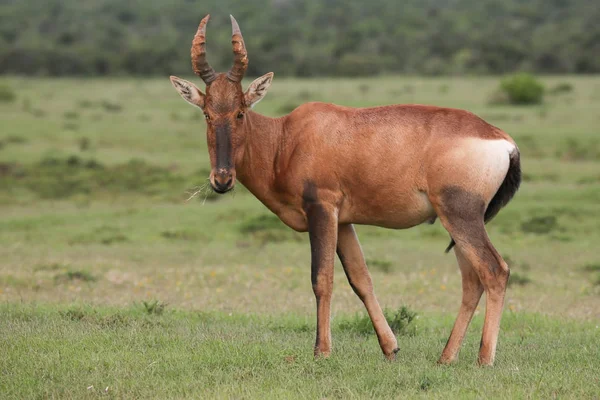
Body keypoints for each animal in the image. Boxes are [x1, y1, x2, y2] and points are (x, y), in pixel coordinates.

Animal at [170, 14, 520, 366]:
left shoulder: (322, 208)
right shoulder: (344, 220)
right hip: (459, 221)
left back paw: (484, 359)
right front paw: (390, 347)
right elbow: (361, 279)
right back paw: (446, 357)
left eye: (240, 111)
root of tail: (504, 140)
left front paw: (322, 351)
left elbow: (322, 278)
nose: (222, 180)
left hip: (461, 215)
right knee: (471, 280)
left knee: (494, 271)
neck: (286, 138)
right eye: (207, 113)